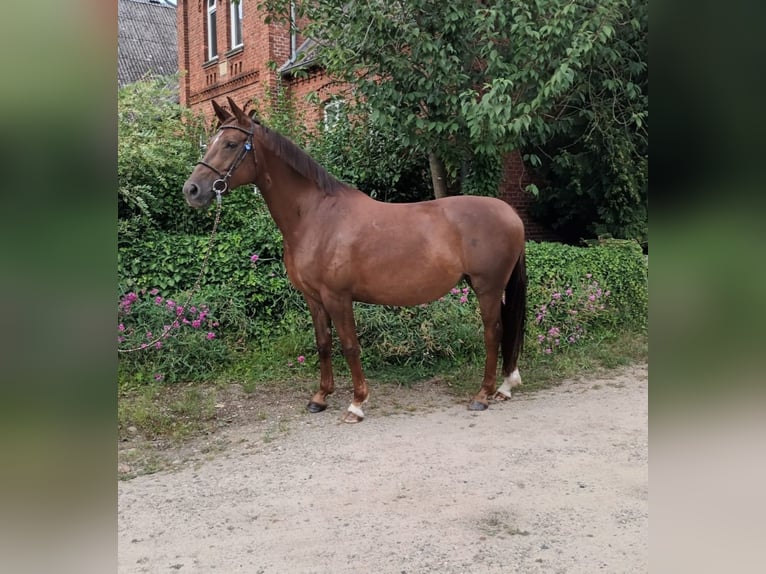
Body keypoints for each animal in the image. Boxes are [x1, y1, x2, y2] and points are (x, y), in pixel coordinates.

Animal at [183, 97, 527, 423]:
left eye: (230, 144)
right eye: (210, 141)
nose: (192, 190)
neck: (316, 217)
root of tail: (510, 213)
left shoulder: (338, 296)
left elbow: (349, 346)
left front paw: (356, 404)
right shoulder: (313, 297)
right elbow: (323, 343)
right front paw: (320, 397)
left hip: (487, 287)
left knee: (493, 331)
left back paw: (482, 394)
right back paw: (505, 387)